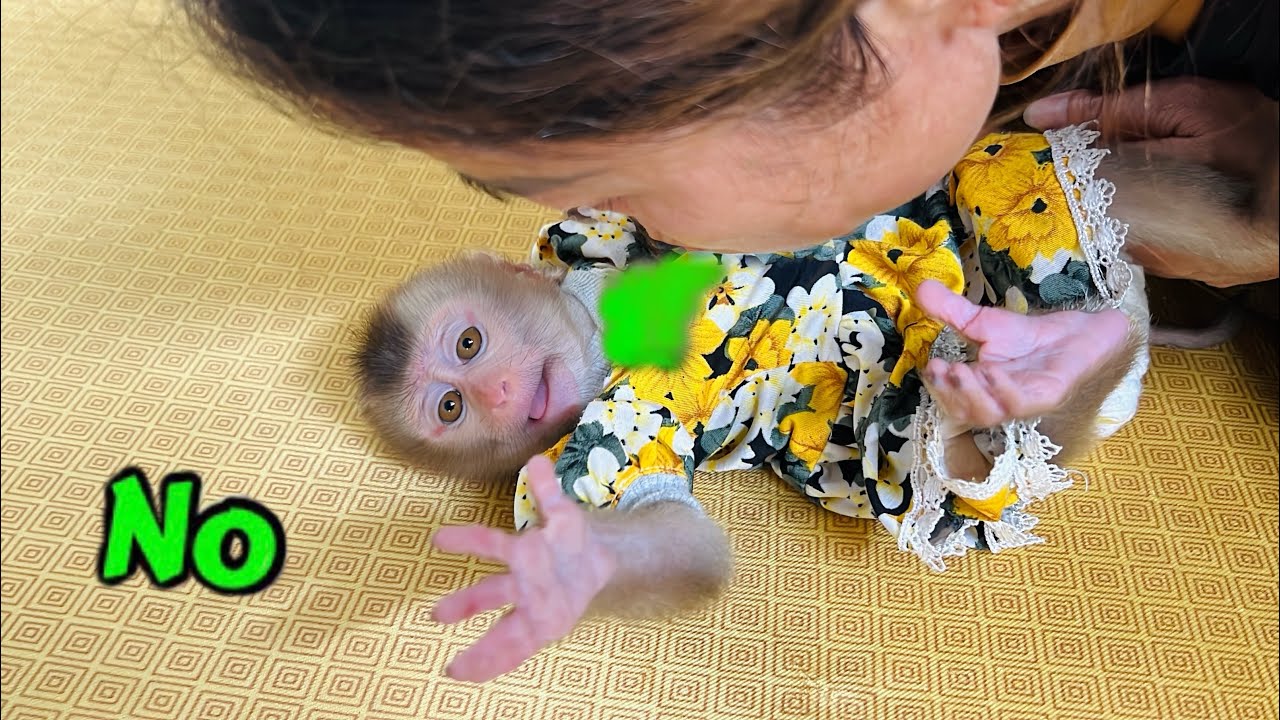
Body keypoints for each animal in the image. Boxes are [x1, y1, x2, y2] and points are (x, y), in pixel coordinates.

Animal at [352, 131, 1278, 683]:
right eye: (450, 409)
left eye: (468, 346)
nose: (498, 394)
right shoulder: (600, 435)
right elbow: (672, 538)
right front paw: (562, 569)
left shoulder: (600, 234)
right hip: (913, 445)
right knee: (962, 458)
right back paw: (1054, 378)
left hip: (1049, 196)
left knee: (1017, 169)